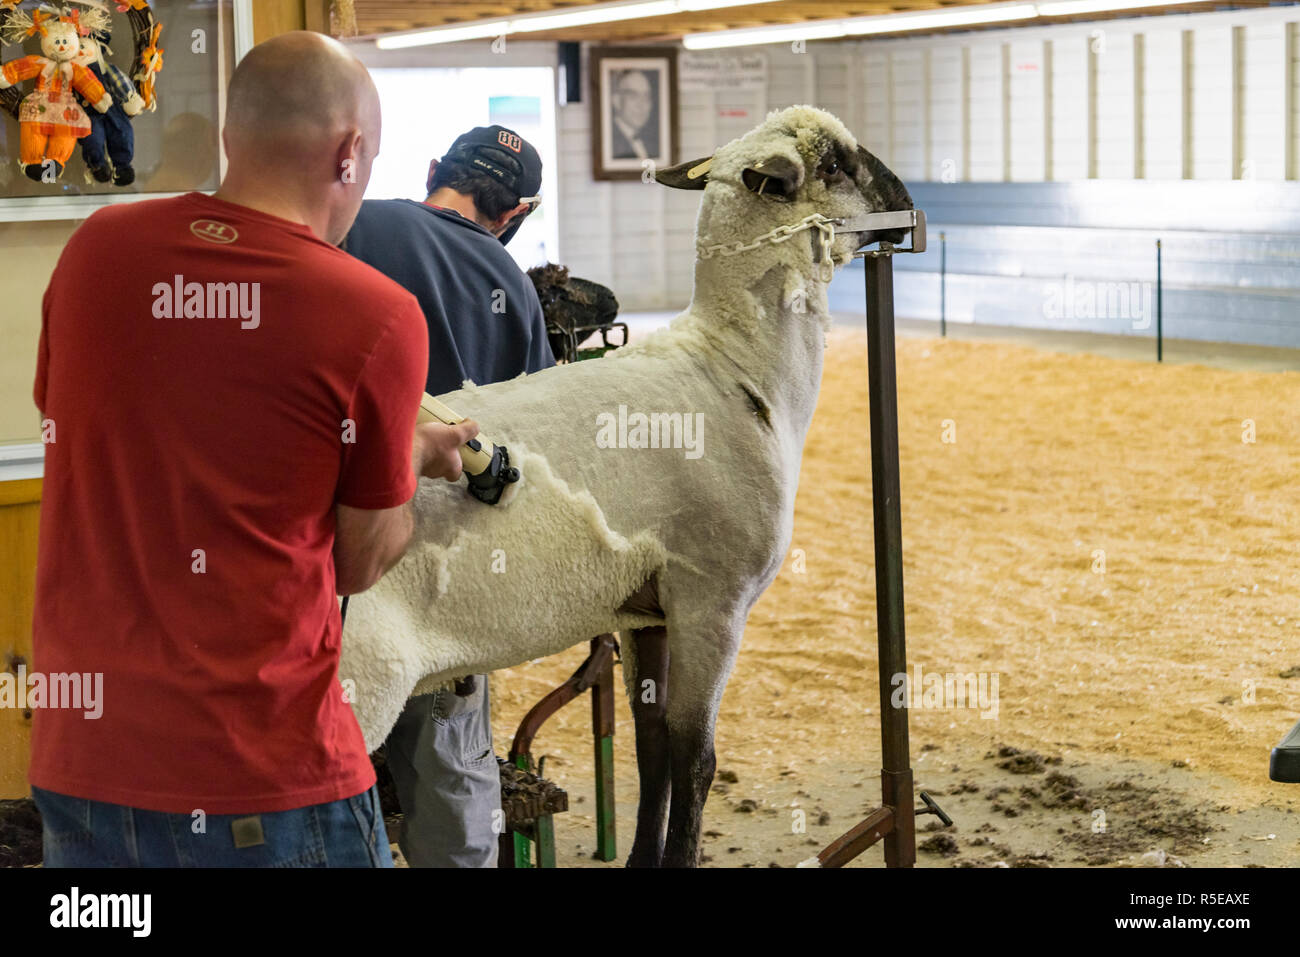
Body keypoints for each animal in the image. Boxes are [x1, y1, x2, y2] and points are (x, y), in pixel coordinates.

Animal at [343, 106, 915, 868]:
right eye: (833, 165)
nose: (910, 201)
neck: (737, 368)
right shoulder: (713, 599)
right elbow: (695, 757)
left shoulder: (645, 610)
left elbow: (651, 745)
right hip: (359, 683)